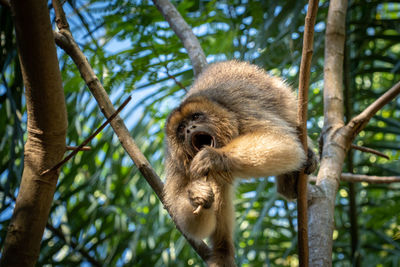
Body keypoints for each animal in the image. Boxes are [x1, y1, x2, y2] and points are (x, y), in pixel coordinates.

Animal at [162, 60, 316, 267]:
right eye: (180, 129)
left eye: (195, 117)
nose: (189, 129)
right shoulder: (177, 164)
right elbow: (190, 226)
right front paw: (196, 195)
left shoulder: (241, 110)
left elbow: (285, 143)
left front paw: (214, 157)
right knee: (220, 188)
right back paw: (223, 252)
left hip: (280, 93)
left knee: (288, 113)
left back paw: (297, 174)